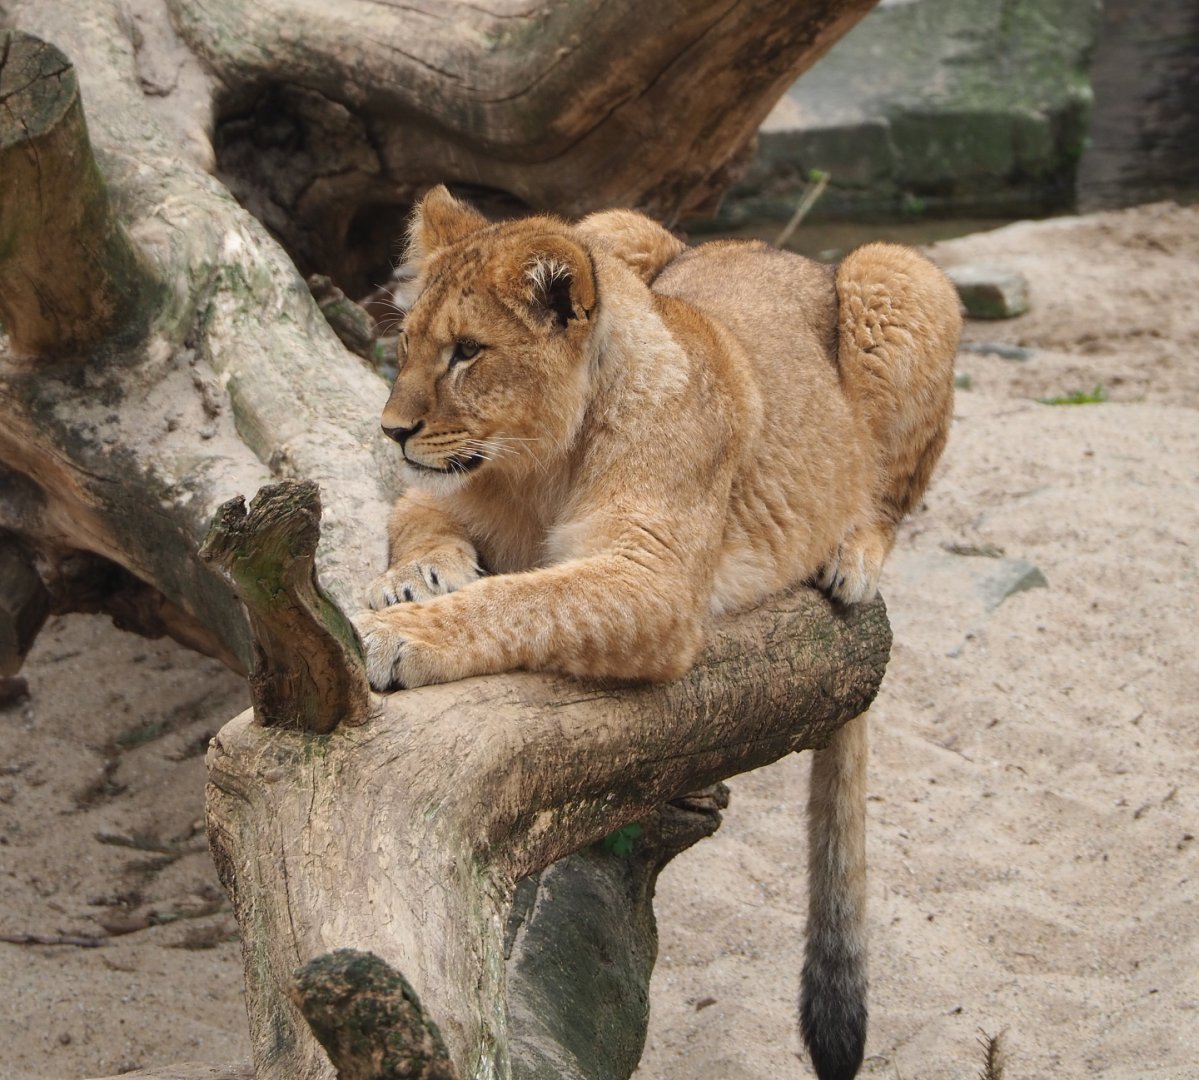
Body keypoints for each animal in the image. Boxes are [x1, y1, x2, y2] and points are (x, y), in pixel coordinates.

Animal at [352, 186, 961, 1080]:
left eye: (467, 352)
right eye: (408, 347)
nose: (392, 431)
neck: (538, 463)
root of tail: (777, 251)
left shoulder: (655, 582)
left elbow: (522, 600)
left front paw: (393, 635)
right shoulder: (440, 495)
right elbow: (417, 519)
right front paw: (415, 577)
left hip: (899, 275)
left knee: (889, 500)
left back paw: (849, 552)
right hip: (614, 224)